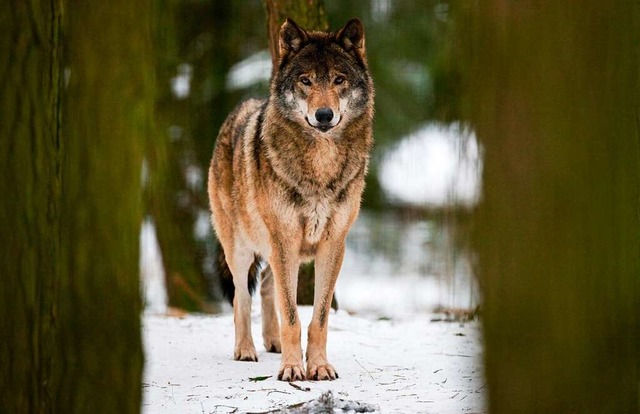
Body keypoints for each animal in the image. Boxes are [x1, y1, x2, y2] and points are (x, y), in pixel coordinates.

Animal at [208, 17, 372, 382]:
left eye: (338, 80)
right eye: (305, 80)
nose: (323, 115)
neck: (320, 168)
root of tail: (238, 110)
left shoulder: (332, 244)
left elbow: (317, 318)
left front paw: (319, 366)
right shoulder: (284, 240)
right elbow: (292, 315)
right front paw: (293, 369)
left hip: (277, 252)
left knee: (268, 288)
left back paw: (273, 342)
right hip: (241, 249)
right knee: (242, 297)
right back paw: (246, 349)